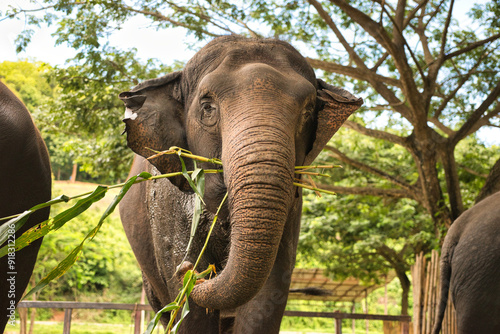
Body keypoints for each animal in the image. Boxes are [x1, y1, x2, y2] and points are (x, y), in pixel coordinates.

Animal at [120, 35, 364, 332]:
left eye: (308, 112)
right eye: (207, 107)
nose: (189, 270)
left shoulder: (291, 211)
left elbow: (267, 296)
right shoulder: (168, 205)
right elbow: (190, 311)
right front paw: (188, 270)